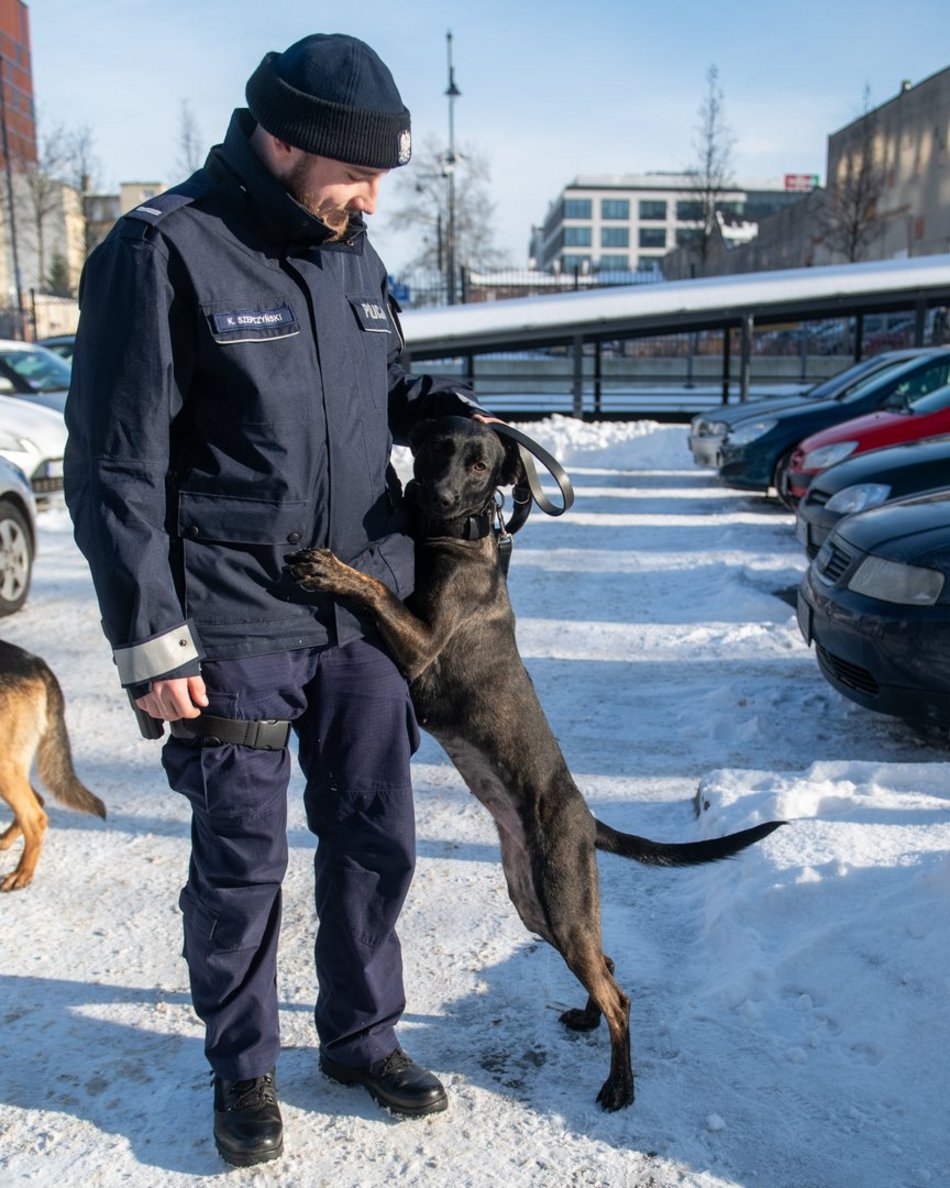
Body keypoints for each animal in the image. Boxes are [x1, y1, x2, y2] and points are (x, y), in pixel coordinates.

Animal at [286, 415, 783, 1102]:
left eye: (479, 465)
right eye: (437, 446)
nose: (437, 494)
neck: (456, 536)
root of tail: (587, 820)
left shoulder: (419, 646)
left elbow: (379, 588)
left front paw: (331, 570)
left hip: (562, 905)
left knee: (619, 993)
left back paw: (619, 1086)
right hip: (535, 904)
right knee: (608, 966)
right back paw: (586, 1018)